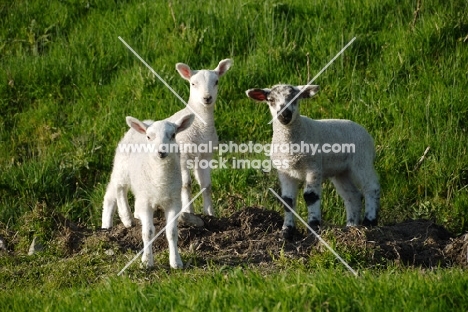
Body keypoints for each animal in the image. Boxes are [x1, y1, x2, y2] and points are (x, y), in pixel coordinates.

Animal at [101, 112, 195, 268]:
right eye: (149, 137)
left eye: (173, 135)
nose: (161, 152)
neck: (160, 178)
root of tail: (145, 122)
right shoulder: (146, 203)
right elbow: (148, 233)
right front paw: (147, 261)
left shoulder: (174, 202)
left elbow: (172, 232)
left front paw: (176, 262)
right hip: (121, 167)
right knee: (117, 189)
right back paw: (125, 218)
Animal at [245, 83, 380, 239]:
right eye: (271, 100)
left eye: (296, 98)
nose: (285, 115)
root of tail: (364, 131)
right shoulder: (285, 172)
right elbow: (287, 200)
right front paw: (286, 231)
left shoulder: (313, 167)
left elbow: (310, 196)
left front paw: (313, 228)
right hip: (341, 172)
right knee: (352, 195)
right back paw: (351, 226)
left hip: (361, 159)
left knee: (371, 187)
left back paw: (369, 221)